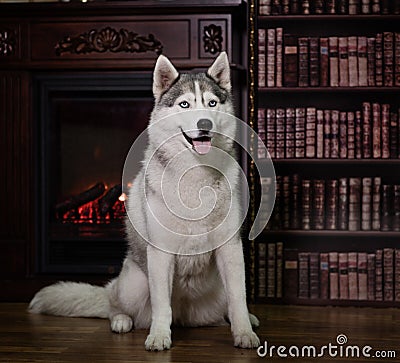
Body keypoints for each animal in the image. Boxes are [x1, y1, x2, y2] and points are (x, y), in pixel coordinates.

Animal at [28, 52, 260, 352]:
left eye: (212, 103)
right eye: (184, 104)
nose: (205, 124)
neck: (194, 175)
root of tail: (186, 314)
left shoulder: (230, 250)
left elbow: (238, 298)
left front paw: (244, 333)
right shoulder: (160, 254)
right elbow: (162, 304)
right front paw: (159, 335)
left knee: (227, 305)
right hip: (134, 283)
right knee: (115, 305)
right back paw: (121, 321)